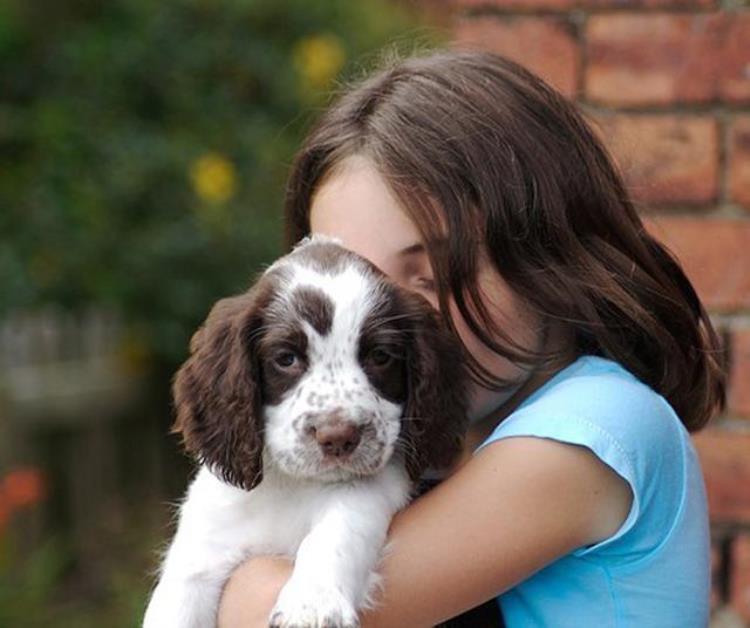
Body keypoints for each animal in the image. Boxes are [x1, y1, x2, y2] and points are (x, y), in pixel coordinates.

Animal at [143, 236, 468, 628]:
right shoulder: (202, 550)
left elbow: (338, 528)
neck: (289, 485)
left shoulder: (371, 490)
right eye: (286, 359)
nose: (339, 437)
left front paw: (313, 603)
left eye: (380, 356)